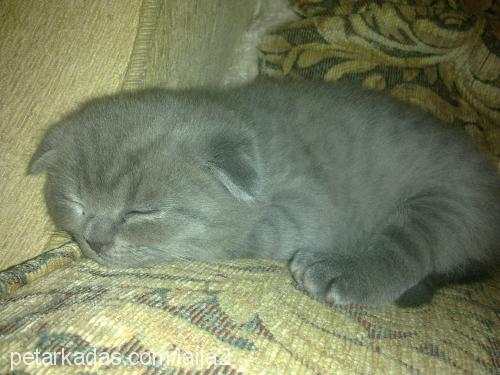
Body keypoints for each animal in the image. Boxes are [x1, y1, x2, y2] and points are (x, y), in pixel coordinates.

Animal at [30, 78, 500, 306]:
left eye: (141, 212)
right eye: (75, 204)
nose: (95, 242)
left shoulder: (311, 207)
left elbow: (237, 240)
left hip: (446, 202)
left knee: (409, 250)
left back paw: (342, 271)